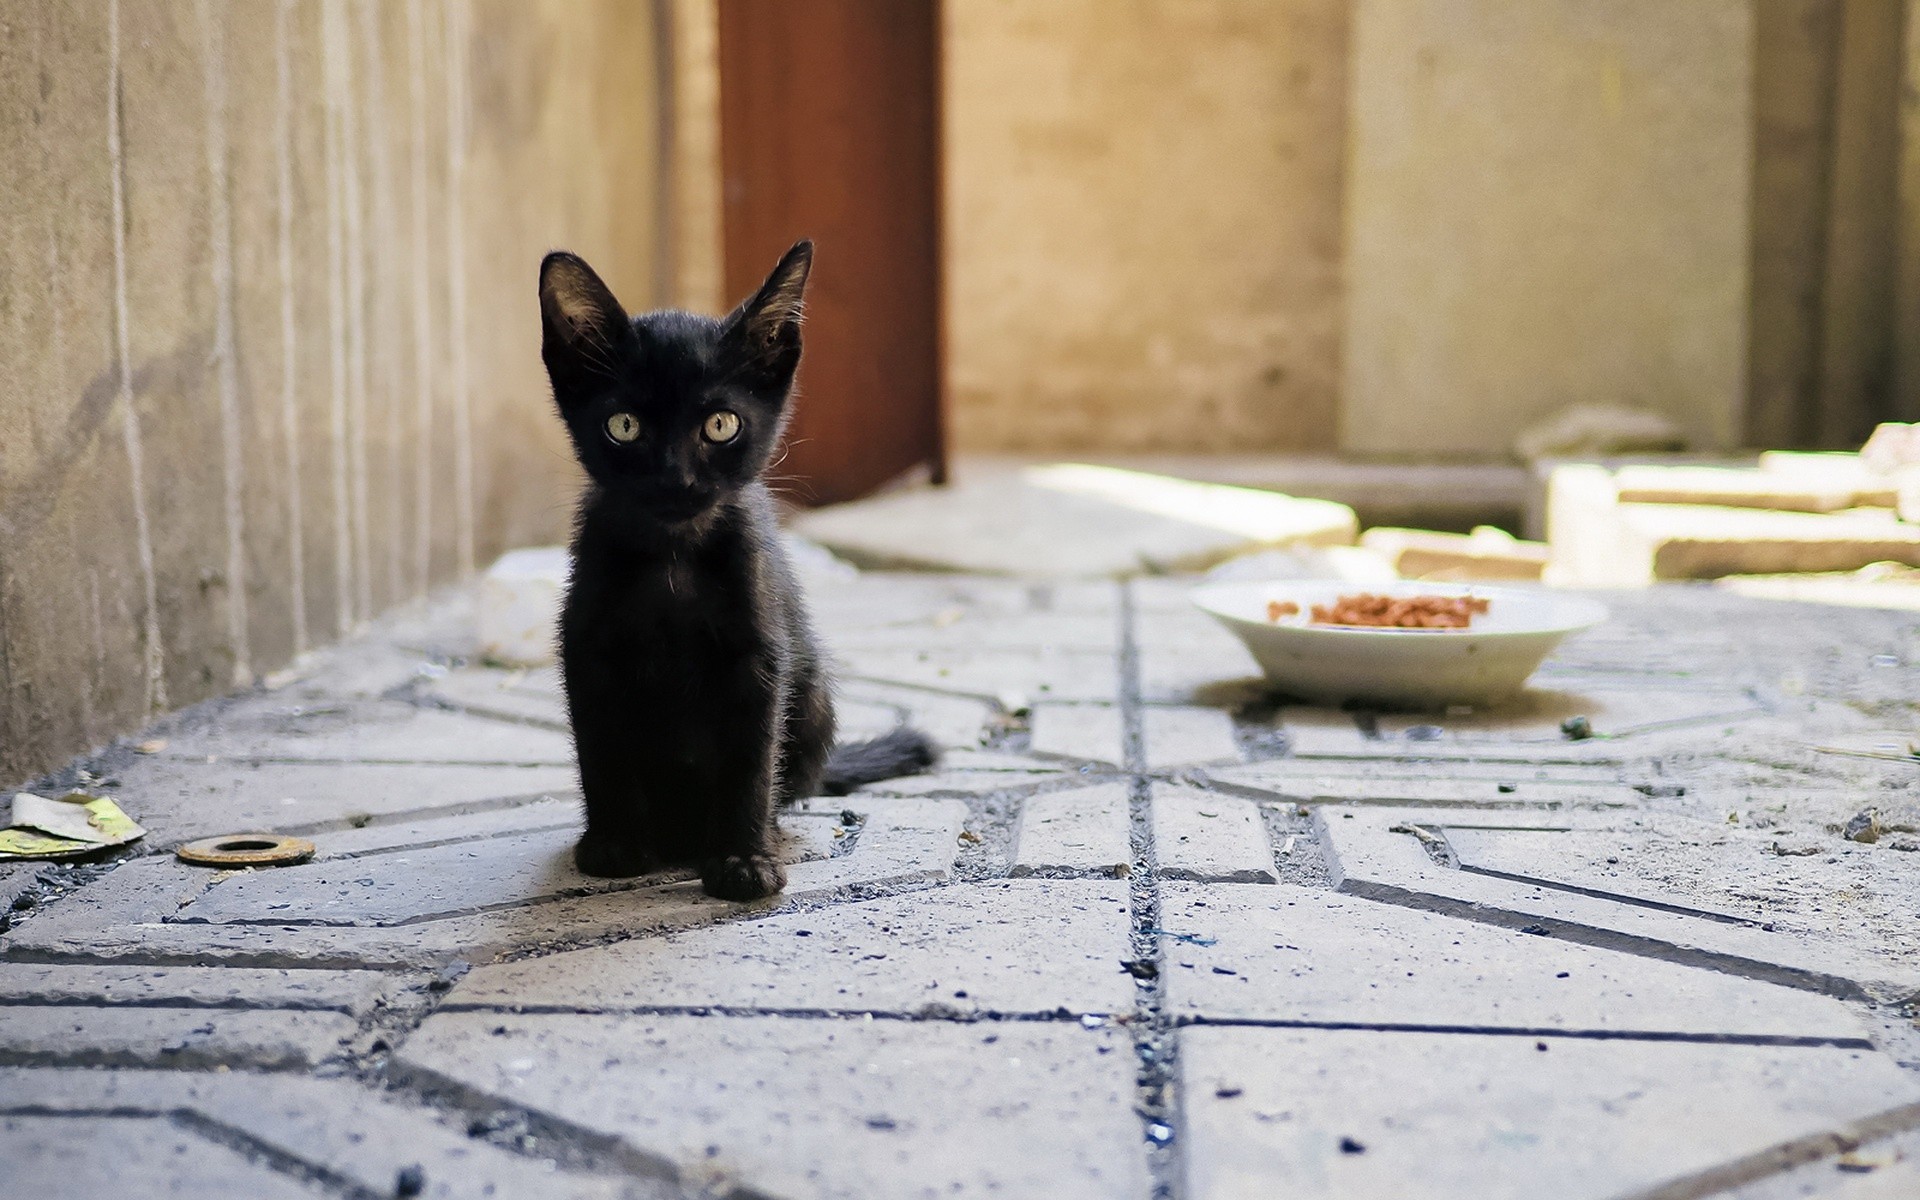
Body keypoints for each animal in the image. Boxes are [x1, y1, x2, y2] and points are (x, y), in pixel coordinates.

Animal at [541, 243, 936, 898]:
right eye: (624, 426)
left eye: (721, 425)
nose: (676, 480)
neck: (673, 556)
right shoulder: (586, 645)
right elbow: (601, 752)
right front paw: (614, 843)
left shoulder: (759, 652)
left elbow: (750, 760)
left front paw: (744, 859)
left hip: (815, 694)